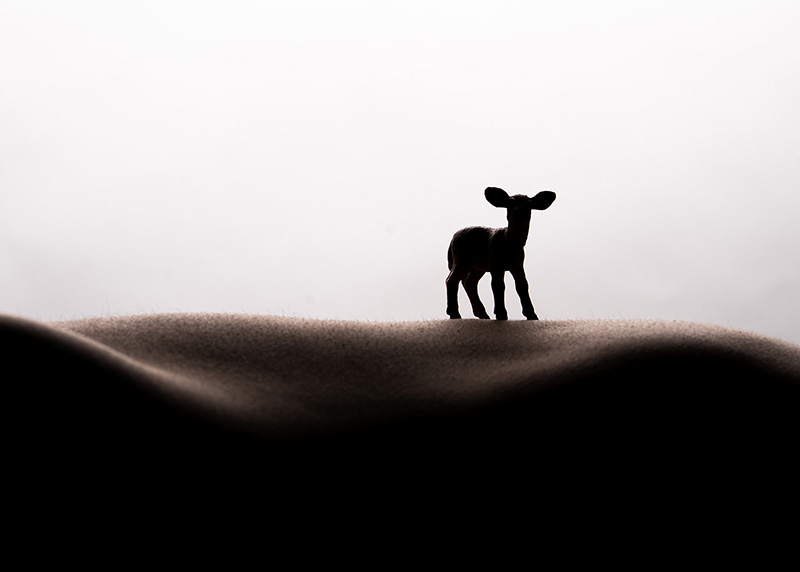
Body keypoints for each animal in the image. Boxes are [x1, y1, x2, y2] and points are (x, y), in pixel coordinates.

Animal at [446, 187, 556, 320]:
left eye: (528, 204)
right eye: (510, 203)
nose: (519, 212)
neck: (509, 243)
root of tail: (453, 238)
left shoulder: (518, 264)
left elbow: (522, 285)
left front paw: (532, 315)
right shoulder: (496, 264)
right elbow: (498, 285)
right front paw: (501, 314)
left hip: (478, 266)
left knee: (469, 282)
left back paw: (482, 314)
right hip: (461, 259)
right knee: (452, 280)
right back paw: (454, 314)